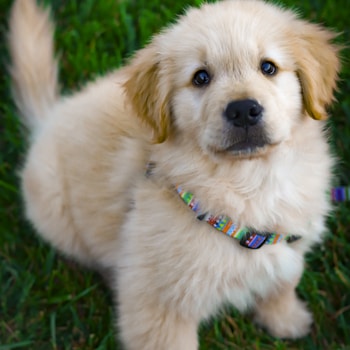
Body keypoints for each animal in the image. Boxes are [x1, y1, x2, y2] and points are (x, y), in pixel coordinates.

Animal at [8, 0, 340, 348]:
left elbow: (282, 283)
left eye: (269, 68)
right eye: (201, 77)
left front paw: (287, 321)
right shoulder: (159, 303)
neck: (248, 184)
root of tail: (49, 119)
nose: (243, 110)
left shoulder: (289, 245)